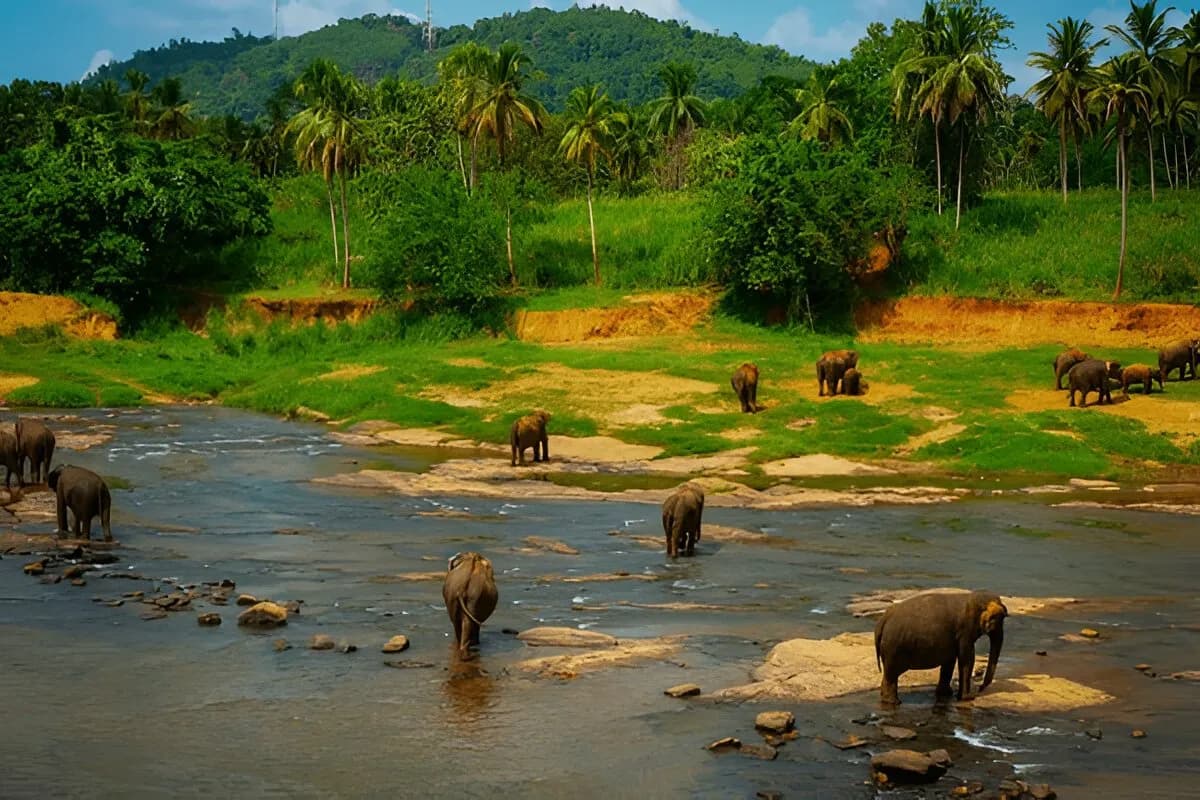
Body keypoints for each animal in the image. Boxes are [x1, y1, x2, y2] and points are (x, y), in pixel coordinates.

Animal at [874, 590, 1007, 705]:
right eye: (997, 620)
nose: (980, 688)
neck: (973, 598)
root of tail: (882, 620)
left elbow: (950, 661)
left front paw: (946, 694)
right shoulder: (965, 631)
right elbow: (967, 659)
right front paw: (967, 698)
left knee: (888, 674)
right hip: (893, 648)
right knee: (891, 674)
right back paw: (894, 702)